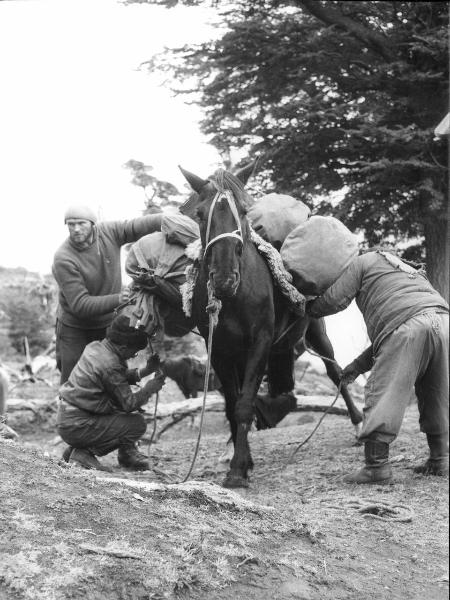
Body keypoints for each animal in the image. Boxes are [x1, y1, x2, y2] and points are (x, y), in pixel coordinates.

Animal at [179, 163, 362, 488]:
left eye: (244, 210)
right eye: (200, 214)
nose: (224, 279)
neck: (235, 298)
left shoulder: (260, 343)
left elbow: (244, 405)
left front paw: (238, 470)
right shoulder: (220, 351)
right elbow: (232, 405)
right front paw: (242, 459)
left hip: (316, 332)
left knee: (335, 372)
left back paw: (358, 425)